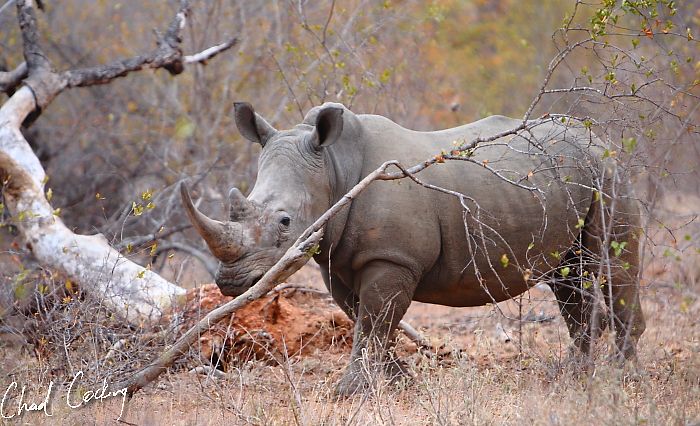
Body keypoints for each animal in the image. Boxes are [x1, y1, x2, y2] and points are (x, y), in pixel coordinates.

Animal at [181, 102, 645, 395]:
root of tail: (601, 138)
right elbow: (365, 319)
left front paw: (349, 392)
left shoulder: (391, 257)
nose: (231, 282)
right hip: (572, 177)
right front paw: (398, 383)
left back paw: (622, 378)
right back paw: (575, 375)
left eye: (284, 223)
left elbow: (374, 321)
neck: (332, 166)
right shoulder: (337, 259)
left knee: (611, 265)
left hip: (608, 173)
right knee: (569, 278)